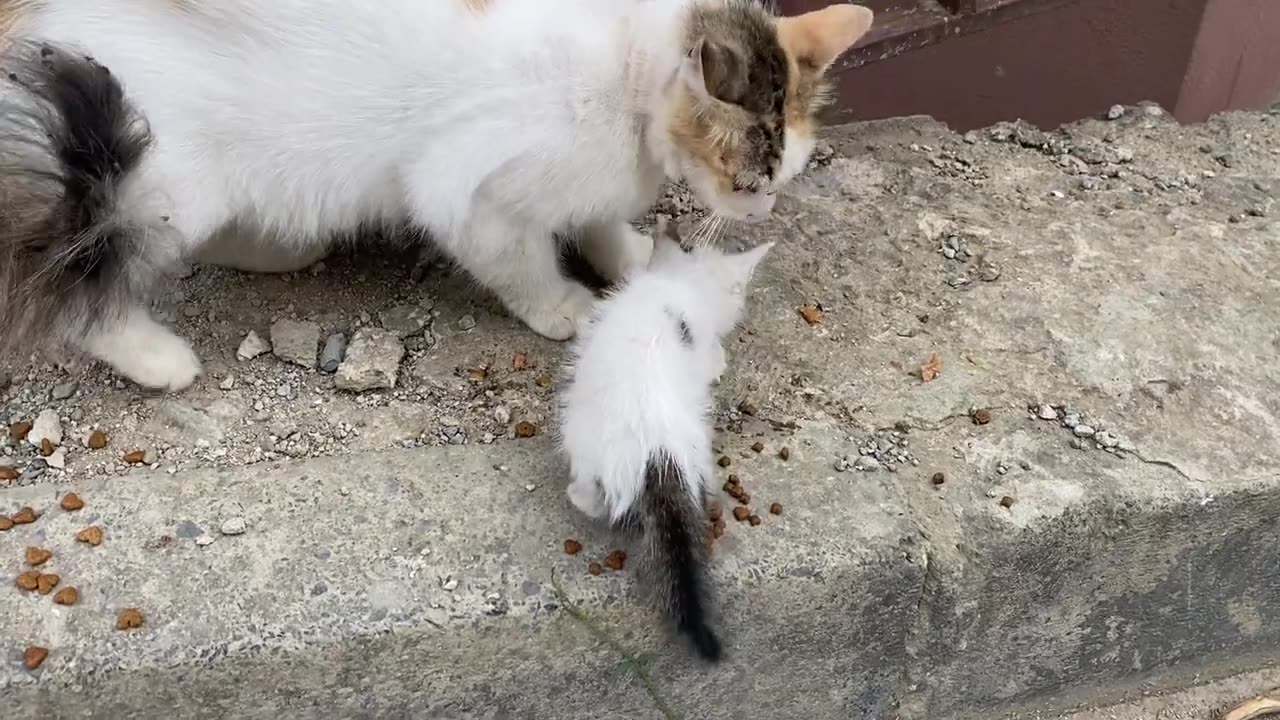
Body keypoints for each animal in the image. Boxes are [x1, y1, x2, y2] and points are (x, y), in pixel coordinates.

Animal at [0, 0, 870, 389]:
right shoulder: (463, 189)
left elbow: (598, 217)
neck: (628, 82)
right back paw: (156, 358)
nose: (762, 210)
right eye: (748, 178)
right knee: (75, 283)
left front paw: (626, 251)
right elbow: (520, 261)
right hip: (144, 178)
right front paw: (564, 307)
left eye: (783, 177)